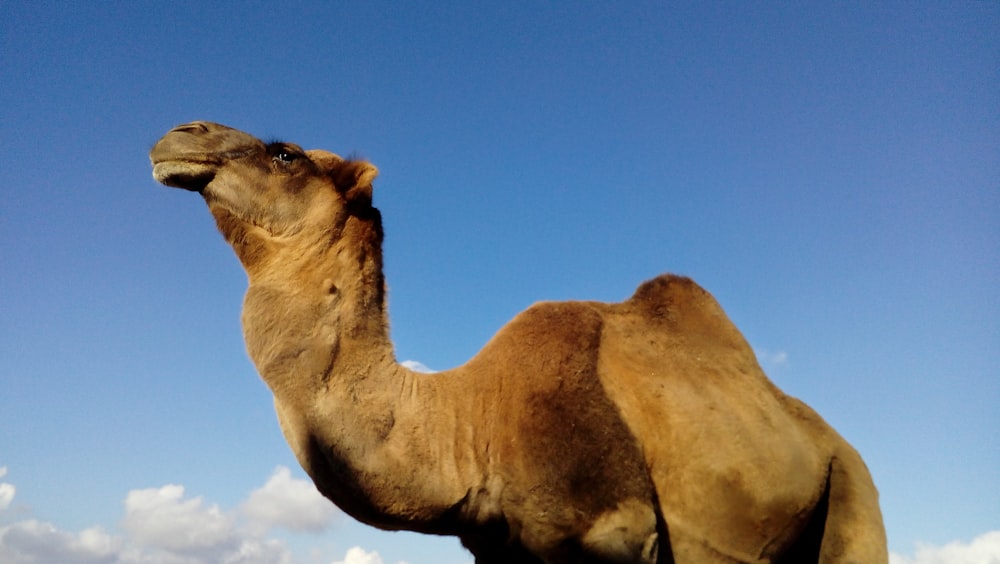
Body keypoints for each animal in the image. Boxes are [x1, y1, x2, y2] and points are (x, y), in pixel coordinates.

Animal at [150, 121, 892, 560]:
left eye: (286, 152)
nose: (179, 135)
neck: (469, 419)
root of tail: (832, 436)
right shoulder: (498, 548)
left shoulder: (618, 532)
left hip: (853, 491)